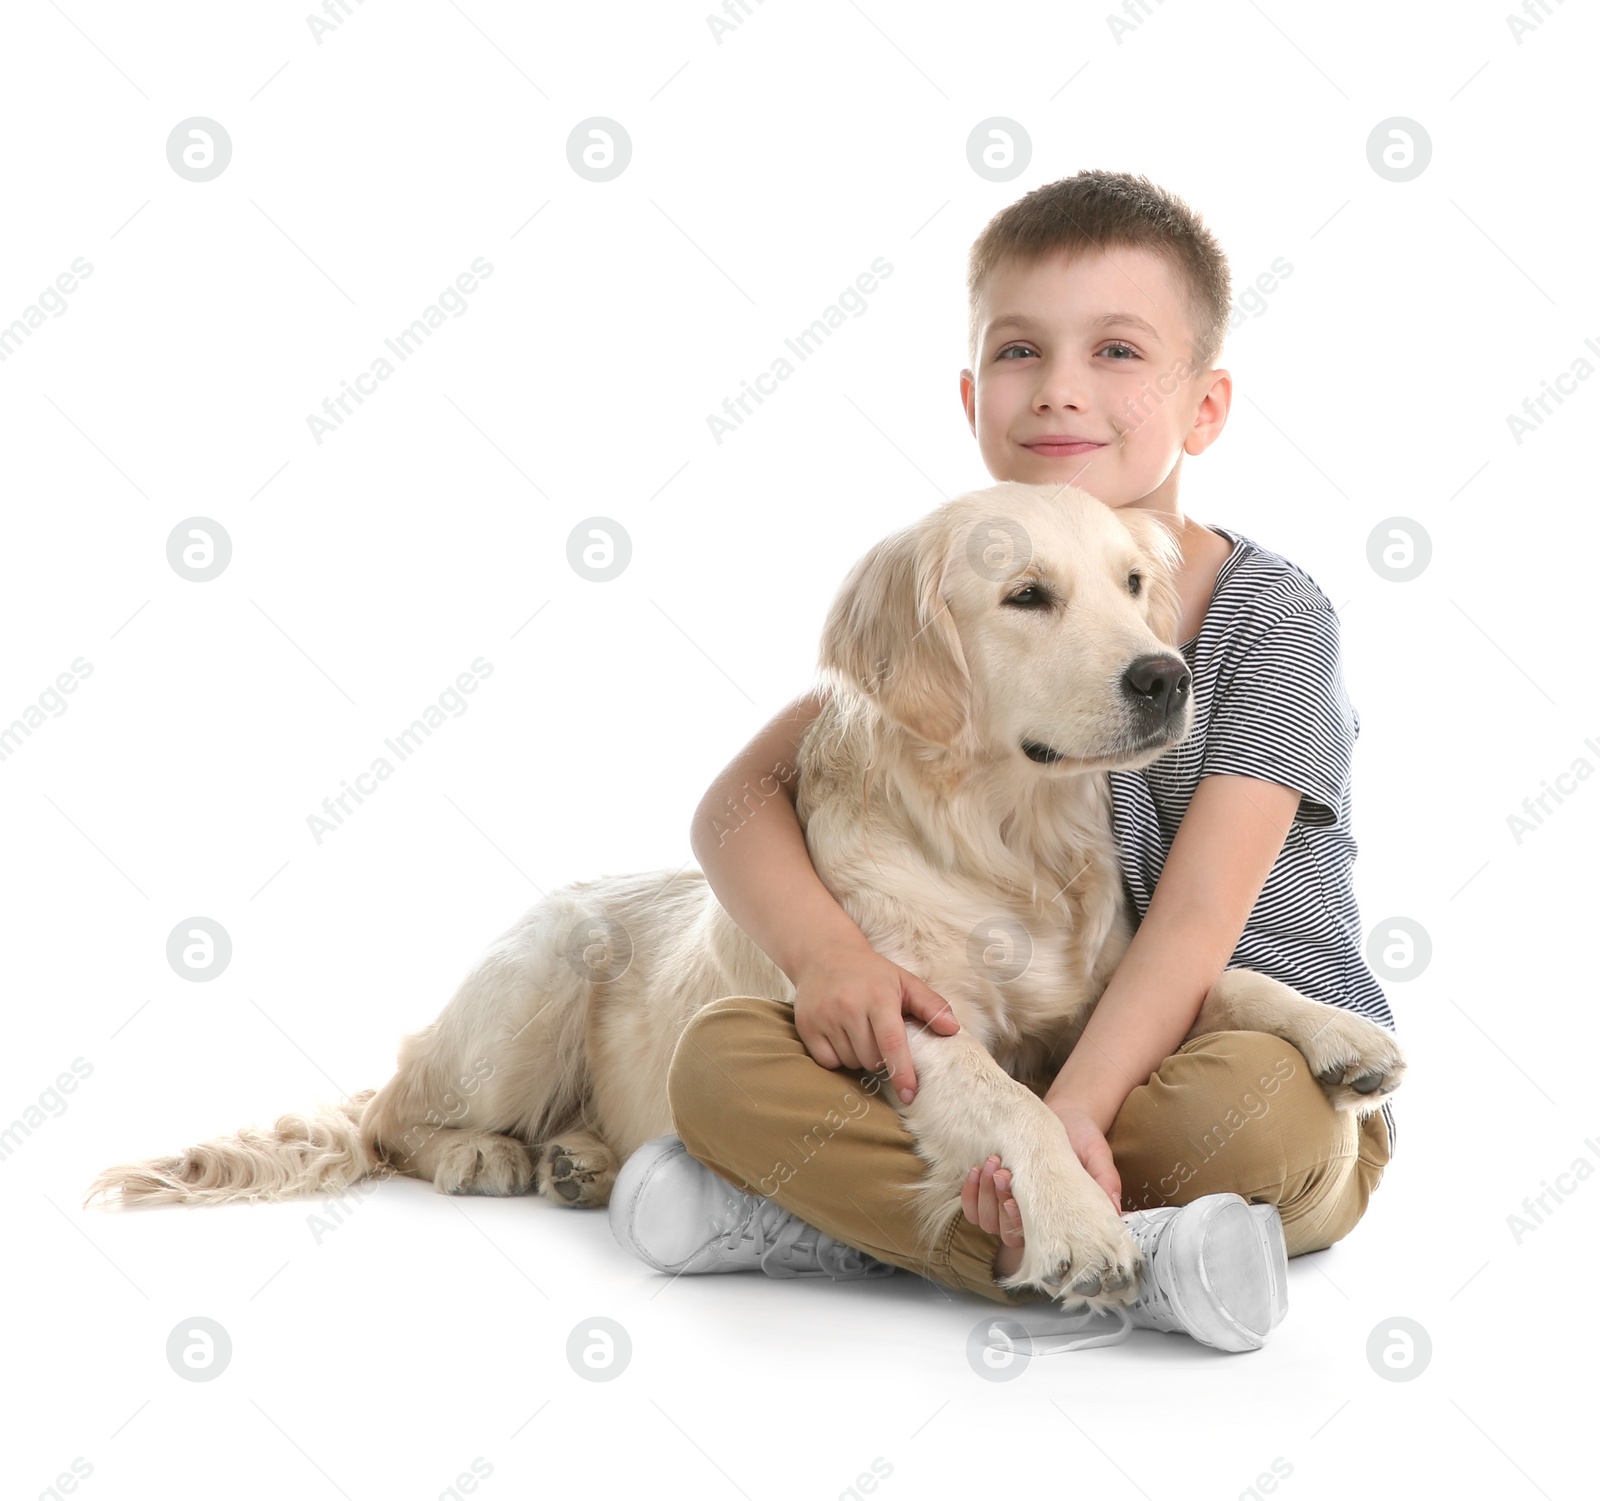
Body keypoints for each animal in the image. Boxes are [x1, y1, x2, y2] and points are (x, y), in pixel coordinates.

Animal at [93, 483, 1408, 1312]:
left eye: (1135, 583)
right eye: (1026, 595)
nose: (1163, 676)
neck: (1004, 838)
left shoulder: (1096, 988)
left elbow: (1215, 973)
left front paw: (1337, 1033)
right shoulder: (908, 1014)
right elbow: (1008, 1101)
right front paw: (1080, 1226)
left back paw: (581, 1162)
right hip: (536, 975)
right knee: (392, 1114)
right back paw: (487, 1154)